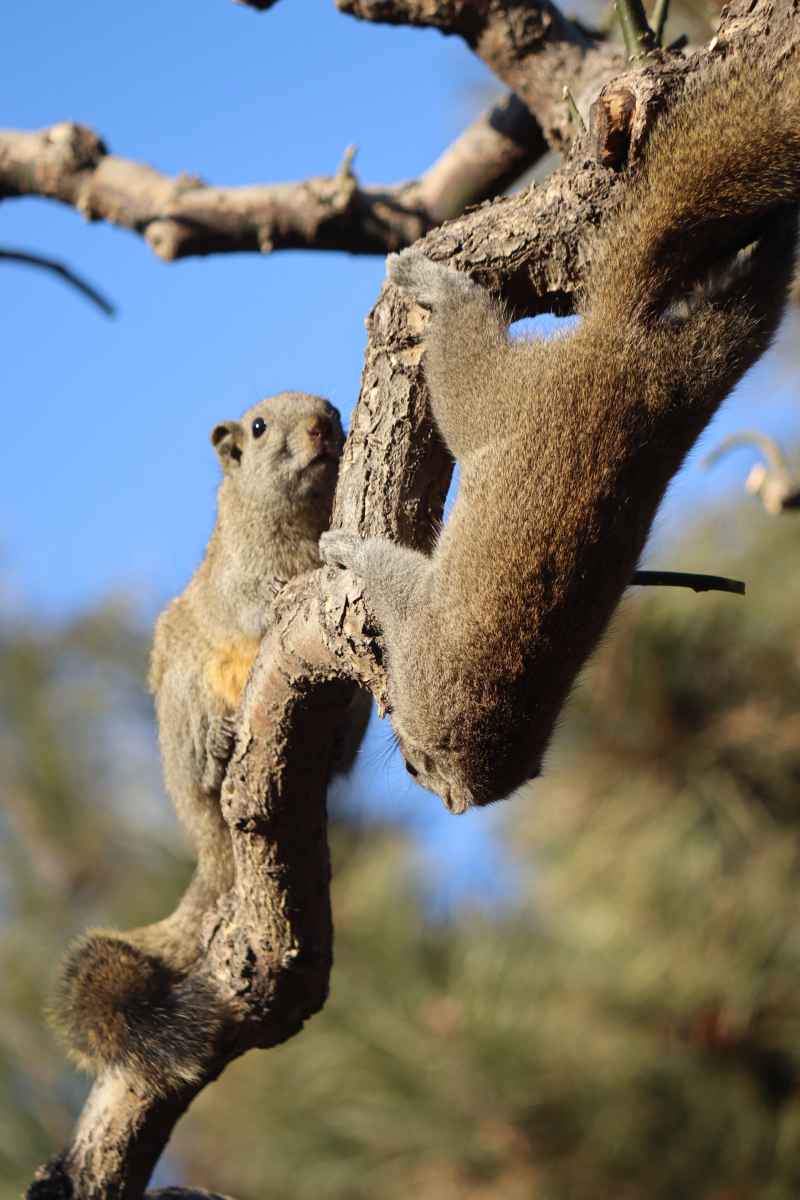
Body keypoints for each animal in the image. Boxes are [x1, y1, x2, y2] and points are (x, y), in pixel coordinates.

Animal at [53, 388, 369, 1094]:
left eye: (335, 411)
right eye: (258, 426)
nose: (322, 428)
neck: (296, 517)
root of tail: (207, 840)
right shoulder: (234, 577)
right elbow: (253, 601)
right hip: (184, 701)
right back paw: (221, 744)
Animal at [321, 51, 800, 811]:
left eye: (416, 765)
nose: (447, 799)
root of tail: (618, 352)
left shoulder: (423, 640)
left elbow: (393, 578)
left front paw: (346, 548)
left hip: (487, 394)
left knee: (466, 338)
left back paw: (435, 281)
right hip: (678, 366)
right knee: (748, 307)